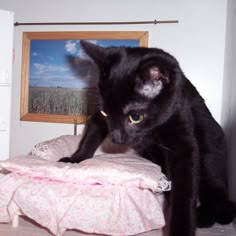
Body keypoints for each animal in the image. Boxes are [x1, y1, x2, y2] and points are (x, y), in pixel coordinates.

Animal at [59, 41, 236, 236]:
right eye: (106, 113)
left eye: (135, 117)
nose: (115, 139)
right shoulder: (98, 117)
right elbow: (90, 135)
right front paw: (75, 159)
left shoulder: (182, 134)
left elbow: (185, 189)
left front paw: (181, 227)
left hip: (209, 154)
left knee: (219, 197)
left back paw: (205, 217)